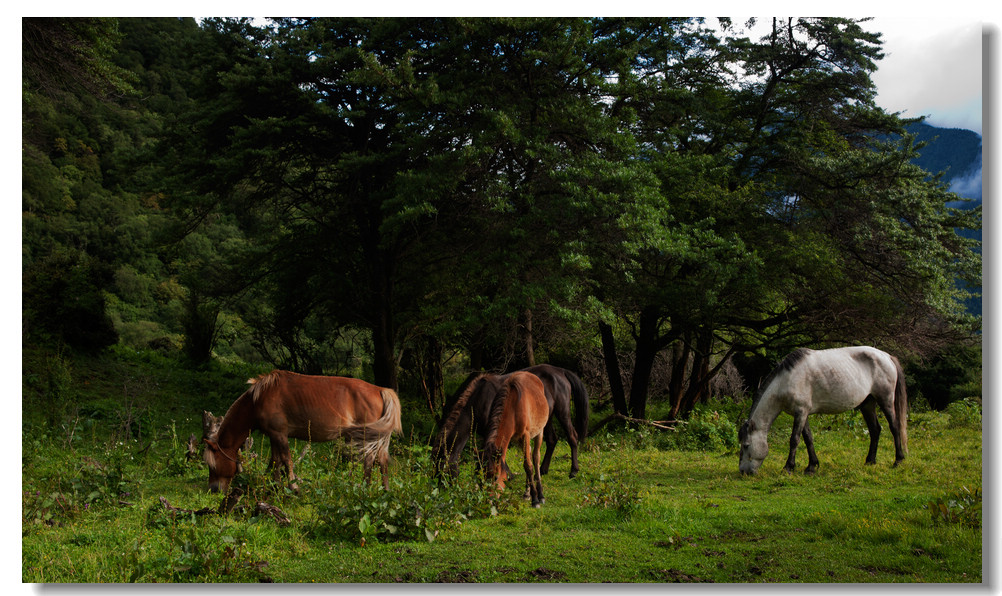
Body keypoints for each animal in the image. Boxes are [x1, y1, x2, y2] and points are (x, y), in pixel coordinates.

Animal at [203, 370, 402, 492]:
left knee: (369, 461)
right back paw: (385, 490)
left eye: (212, 465)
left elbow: (286, 460)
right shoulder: (274, 436)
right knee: (381, 461)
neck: (258, 399)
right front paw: (274, 484)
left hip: (368, 438)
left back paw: (365, 488)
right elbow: (275, 461)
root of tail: (380, 390)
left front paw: (293, 487)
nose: (213, 489)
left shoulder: (280, 434)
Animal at [478, 370, 549, 506]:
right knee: (530, 453)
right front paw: (530, 495)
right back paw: (527, 493)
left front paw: (535, 499)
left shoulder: (526, 435)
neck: (513, 407)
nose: (487, 501)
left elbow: (528, 466)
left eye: (495, 477)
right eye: (482, 476)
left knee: (535, 458)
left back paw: (541, 495)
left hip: (539, 432)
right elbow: (526, 464)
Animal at [737, 346, 909, 478]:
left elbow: (794, 440)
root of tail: (887, 356)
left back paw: (898, 460)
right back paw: (870, 461)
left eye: (746, 445)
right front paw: (811, 467)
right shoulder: (802, 413)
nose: (743, 472)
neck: (786, 381)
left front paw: (788, 468)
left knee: (894, 427)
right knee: (875, 430)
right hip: (867, 404)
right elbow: (808, 439)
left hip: (885, 400)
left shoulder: (801, 412)